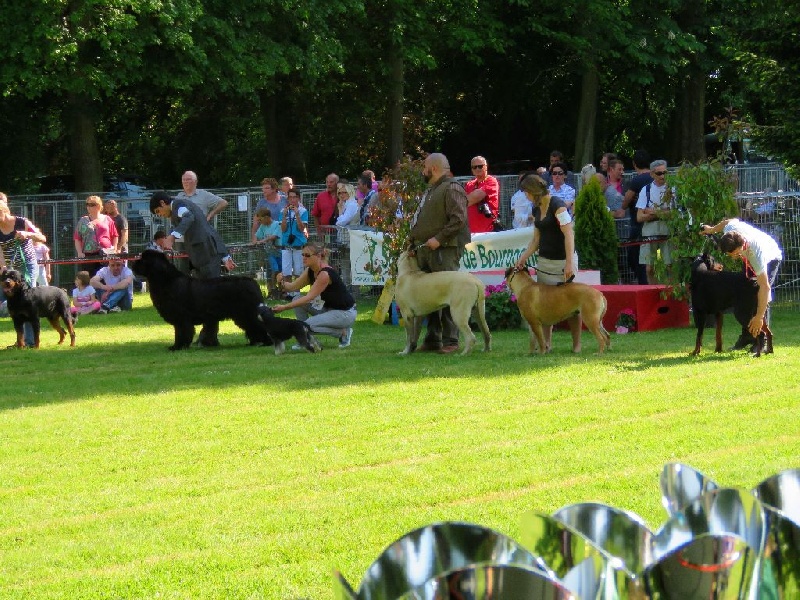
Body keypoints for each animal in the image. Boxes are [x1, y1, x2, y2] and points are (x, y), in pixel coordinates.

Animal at [130, 250, 270, 352]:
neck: (166, 280)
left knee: (260, 326)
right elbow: (179, 333)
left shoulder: (181, 318)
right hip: (243, 316)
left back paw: (267, 342)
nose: (132, 264)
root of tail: (253, 282)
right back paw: (255, 343)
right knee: (252, 328)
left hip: (248, 313)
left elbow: (181, 332)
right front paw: (177, 346)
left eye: (143, 259)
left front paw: (178, 347)